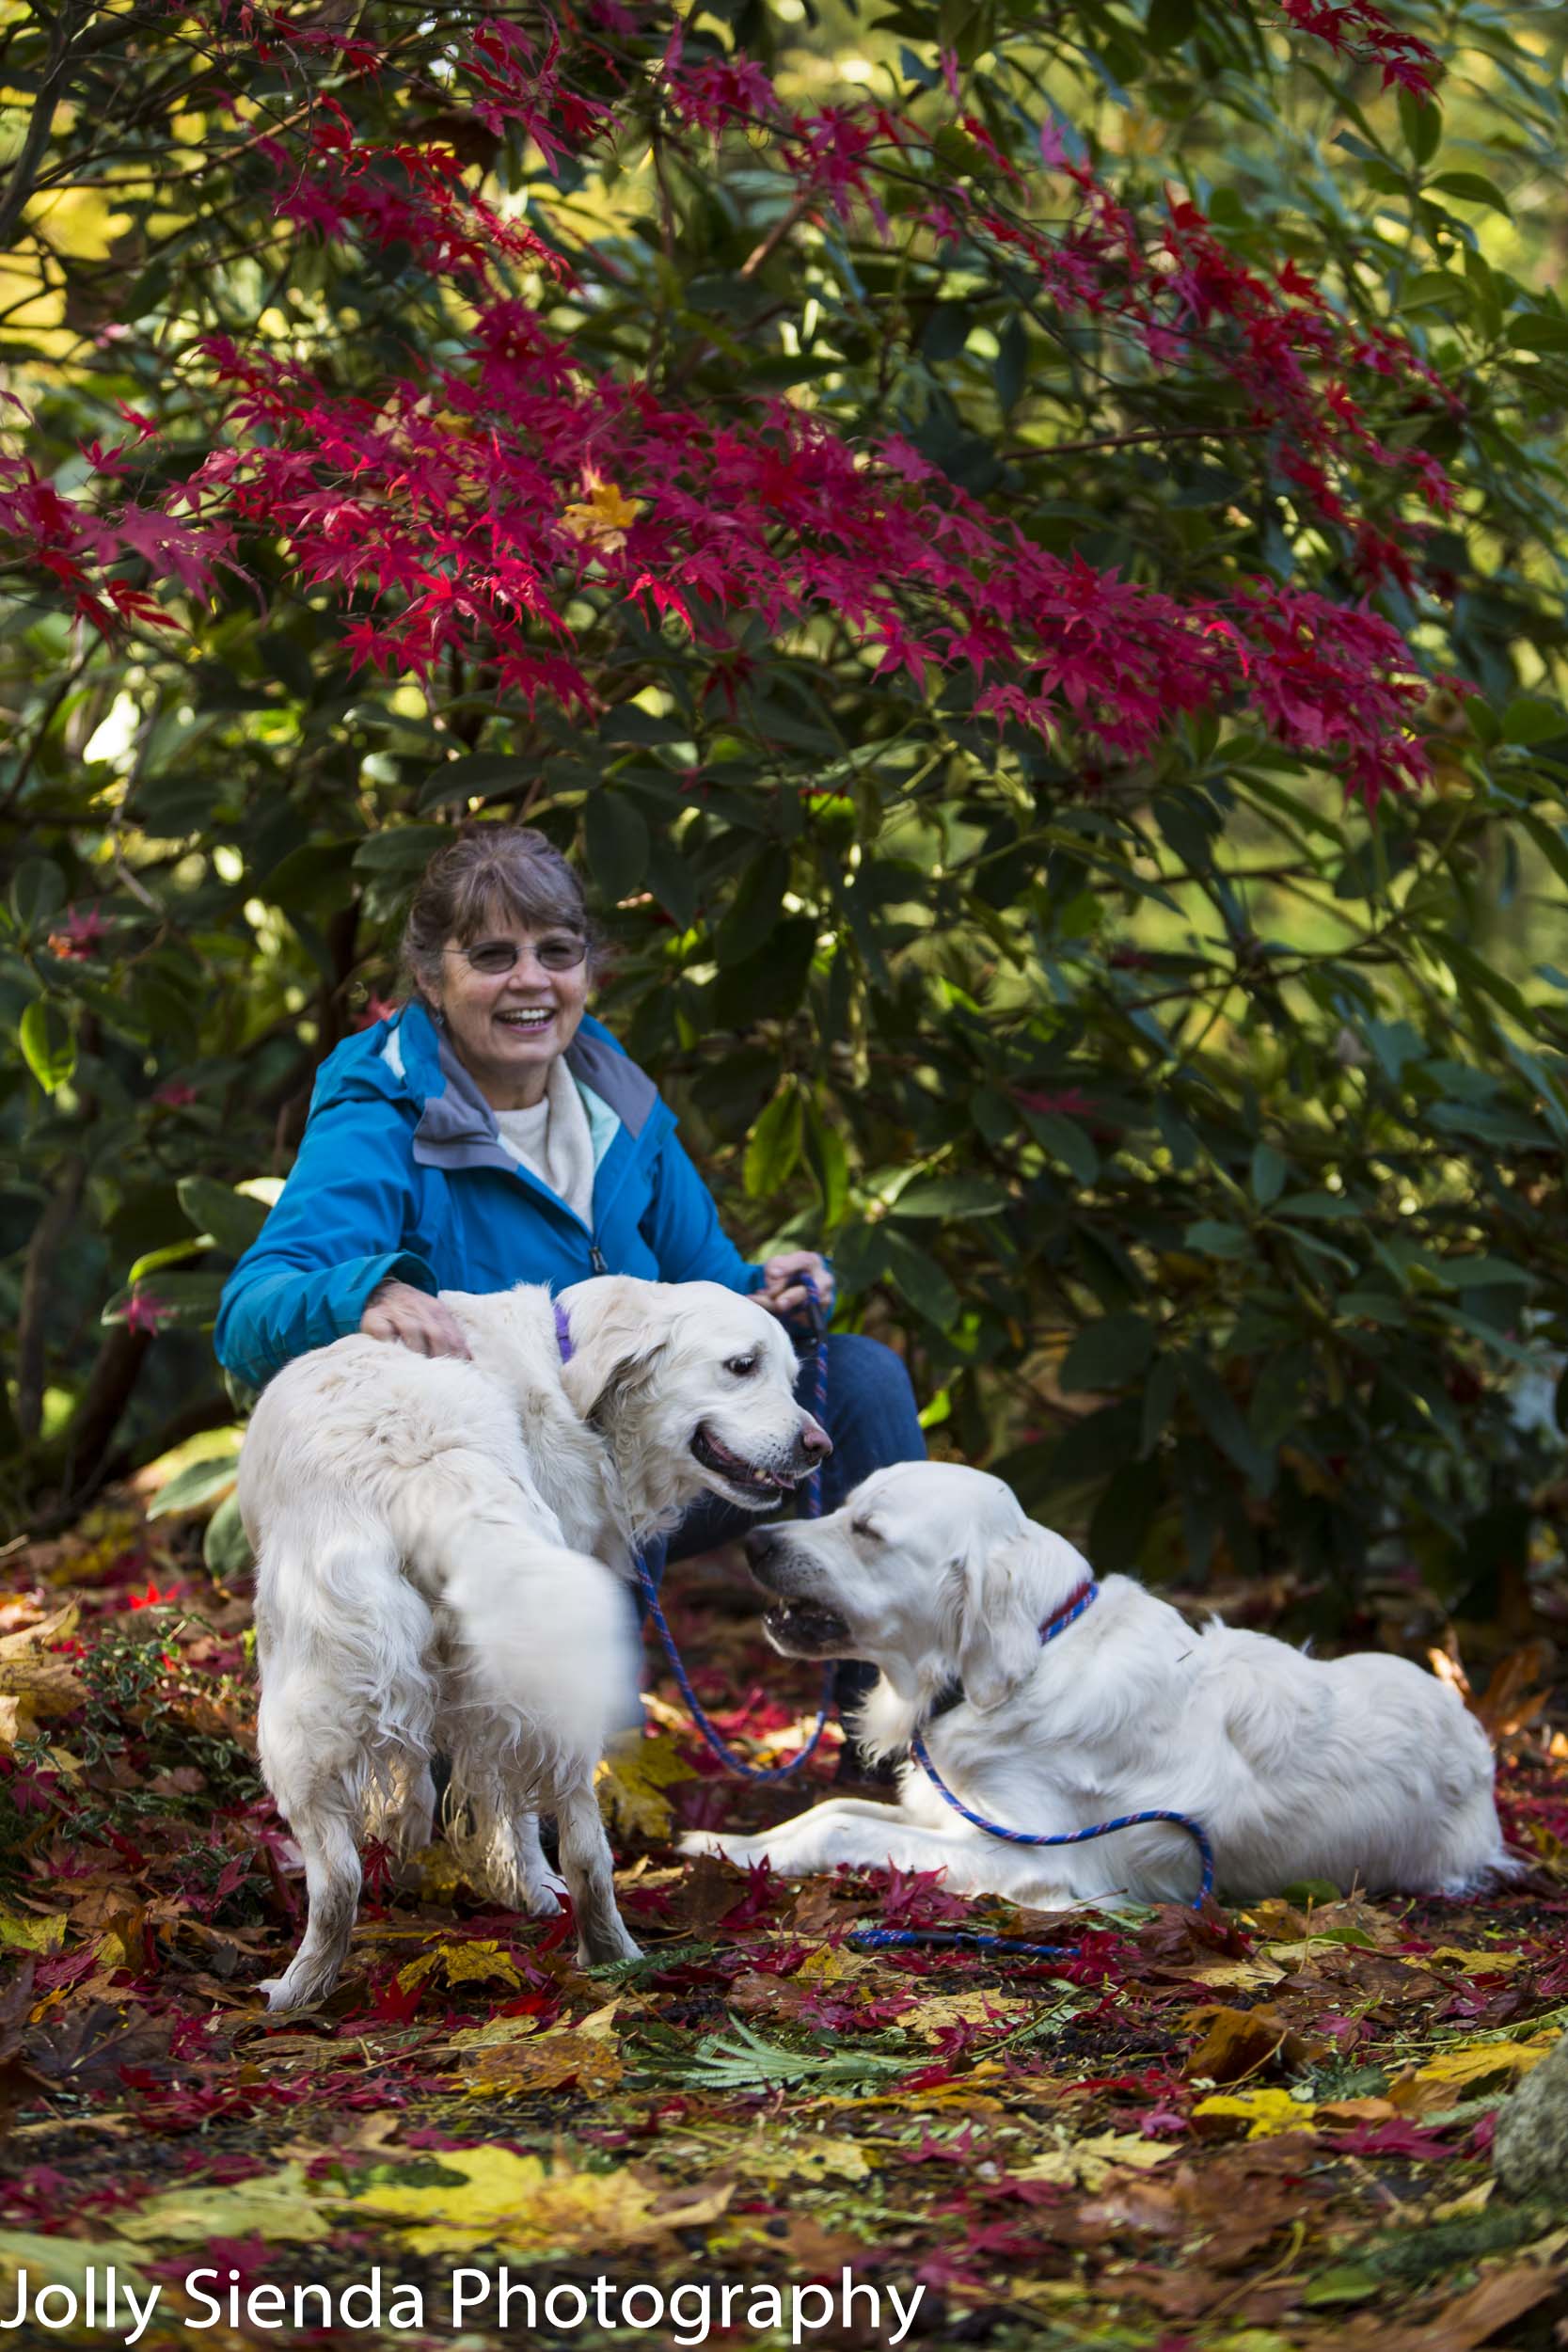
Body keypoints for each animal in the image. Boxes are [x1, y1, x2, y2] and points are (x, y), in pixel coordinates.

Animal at [239, 1279, 827, 2013]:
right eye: (742, 1366)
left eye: (791, 1375)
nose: (819, 1445)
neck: (568, 1371)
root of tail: (424, 1460)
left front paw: (407, 1832)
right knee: (585, 1851)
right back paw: (607, 1949)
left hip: (294, 1719)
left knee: (341, 1876)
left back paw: (298, 1987)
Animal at [681, 1468, 1513, 1910]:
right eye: (842, 1504)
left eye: (868, 1530)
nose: (754, 1540)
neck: (1028, 1663)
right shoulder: (947, 1812)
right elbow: (829, 1810)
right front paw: (728, 1843)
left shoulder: (1044, 1860)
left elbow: (839, 1829)